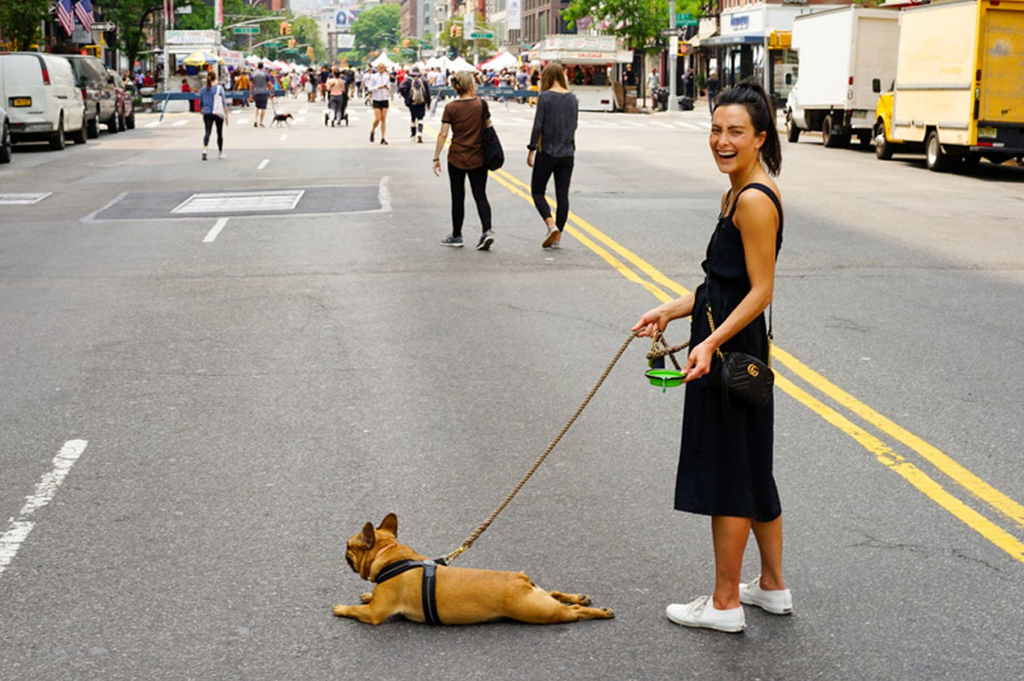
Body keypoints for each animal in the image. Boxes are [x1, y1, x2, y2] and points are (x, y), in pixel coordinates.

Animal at [333, 512, 614, 622]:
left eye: (348, 545)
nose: (342, 549)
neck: (392, 556)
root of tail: (521, 579)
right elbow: (370, 597)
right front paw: (366, 593)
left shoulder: (374, 614)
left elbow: (356, 610)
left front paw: (340, 608)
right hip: (540, 598)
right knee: (555, 594)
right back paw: (580, 597)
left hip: (540, 612)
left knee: (573, 612)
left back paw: (600, 611)